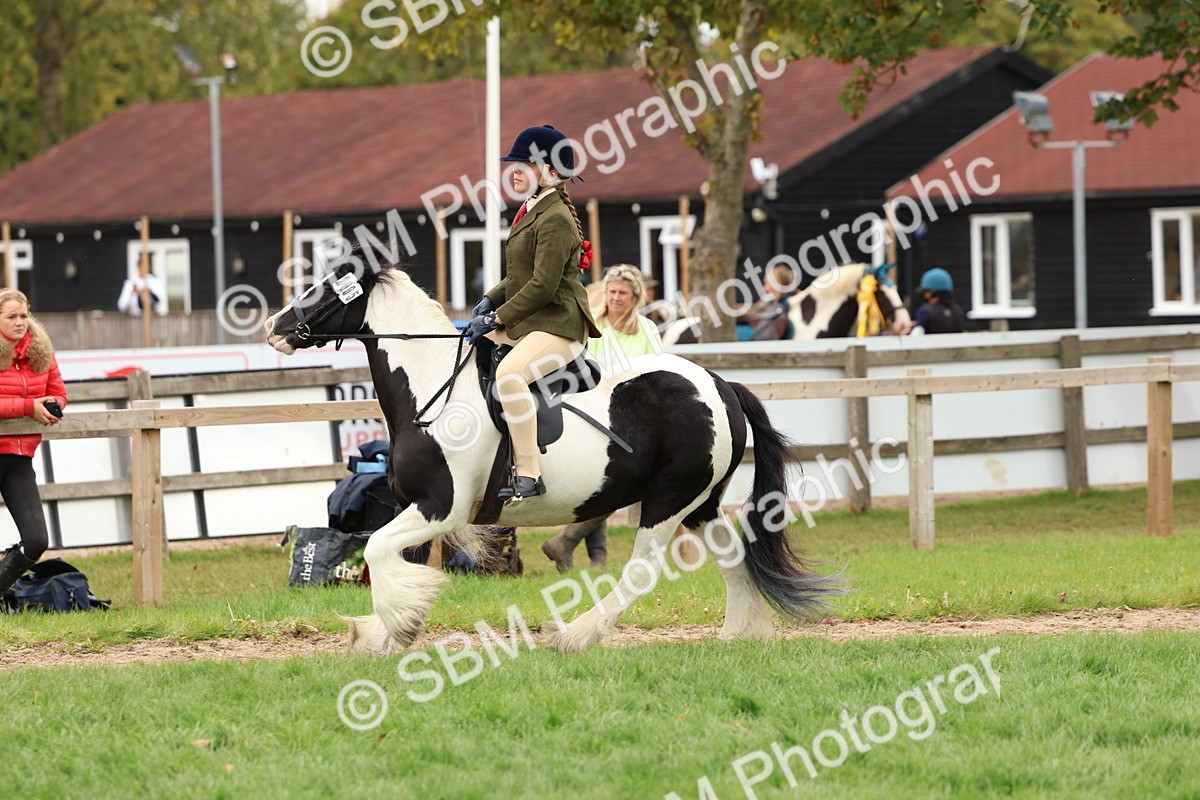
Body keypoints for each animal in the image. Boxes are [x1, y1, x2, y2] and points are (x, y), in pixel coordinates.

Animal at [265, 262, 842, 656]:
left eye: (322, 288)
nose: (275, 326)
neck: (433, 385)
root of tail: (721, 385)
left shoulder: (440, 508)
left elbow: (379, 549)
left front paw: (397, 627)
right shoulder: (416, 508)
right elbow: (391, 560)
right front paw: (382, 632)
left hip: (668, 502)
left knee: (641, 572)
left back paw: (574, 635)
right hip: (700, 503)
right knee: (732, 554)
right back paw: (741, 634)